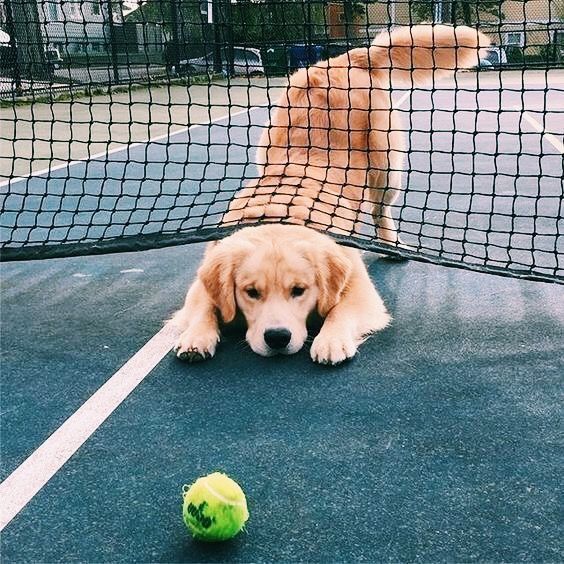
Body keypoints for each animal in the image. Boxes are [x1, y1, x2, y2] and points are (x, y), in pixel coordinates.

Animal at [174, 225, 390, 366]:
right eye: (252, 292)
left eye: (298, 290)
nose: (277, 338)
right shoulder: (200, 286)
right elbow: (204, 308)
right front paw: (196, 336)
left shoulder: (362, 290)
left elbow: (340, 310)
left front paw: (332, 339)